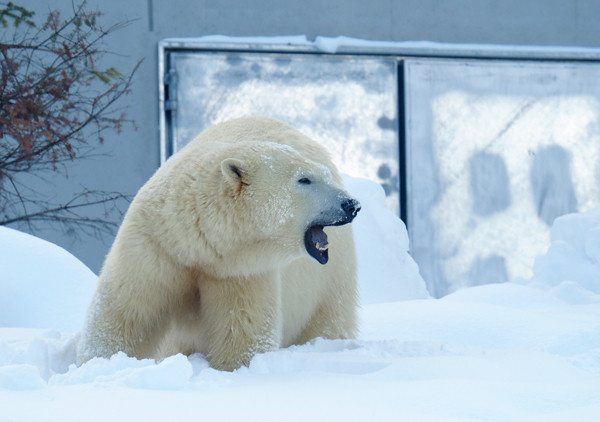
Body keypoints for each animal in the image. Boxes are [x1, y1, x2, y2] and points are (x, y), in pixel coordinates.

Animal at [77, 117, 358, 370]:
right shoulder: (156, 246)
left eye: (320, 175)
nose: (351, 204)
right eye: (304, 179)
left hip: (329, 280)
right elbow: (127, 312)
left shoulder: (240, 271)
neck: (197, 245)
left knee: (330, 318)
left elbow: (242, 328)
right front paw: (100, 364)